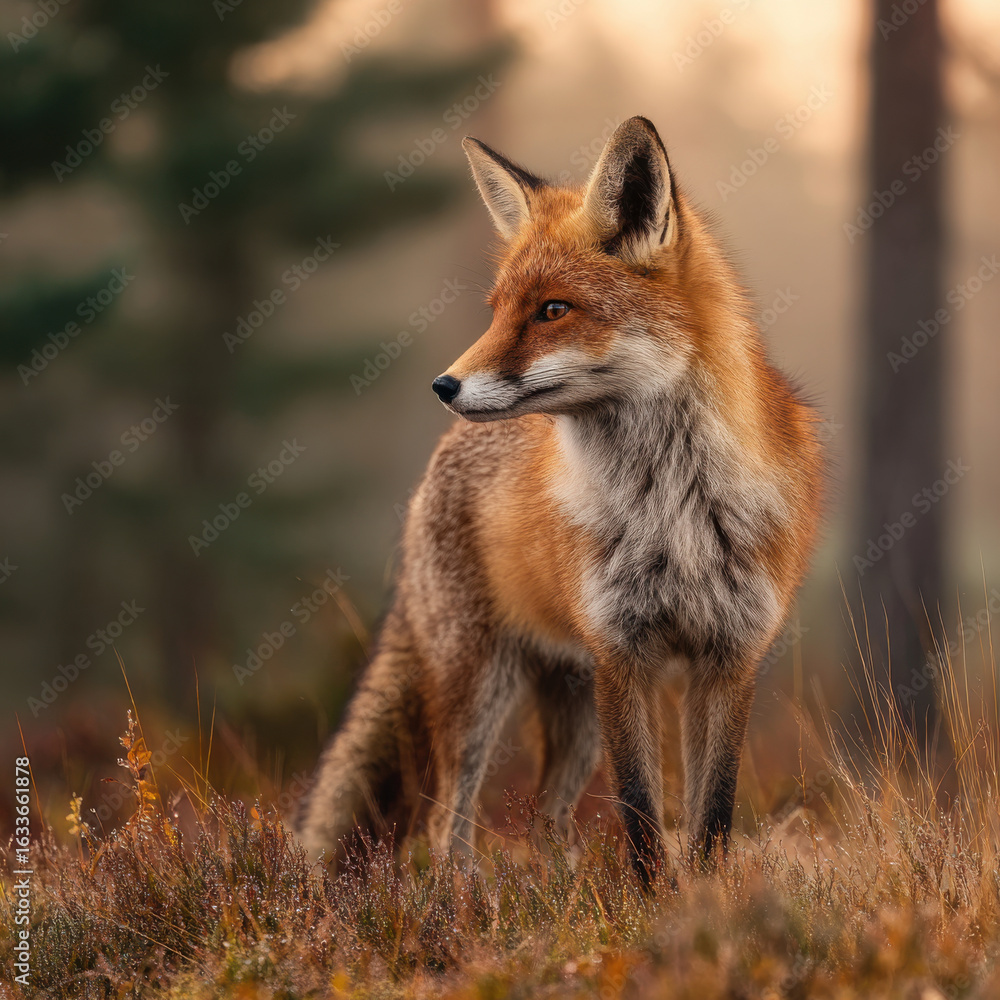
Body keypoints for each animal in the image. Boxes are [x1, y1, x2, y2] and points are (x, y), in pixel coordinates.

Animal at [298, 116, 824, 886]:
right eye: (496, 312)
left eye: (553, 310)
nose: (444, 386)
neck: (675, 508)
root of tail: (438, 461)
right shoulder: (622, 654)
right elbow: (640, 816)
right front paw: (655, 901)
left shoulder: (729, 656)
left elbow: (712, 817)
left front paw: (705, 895)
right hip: (481, 689)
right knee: (444, 826)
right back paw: (462, 899)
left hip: (572, 708)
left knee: (547, 823)